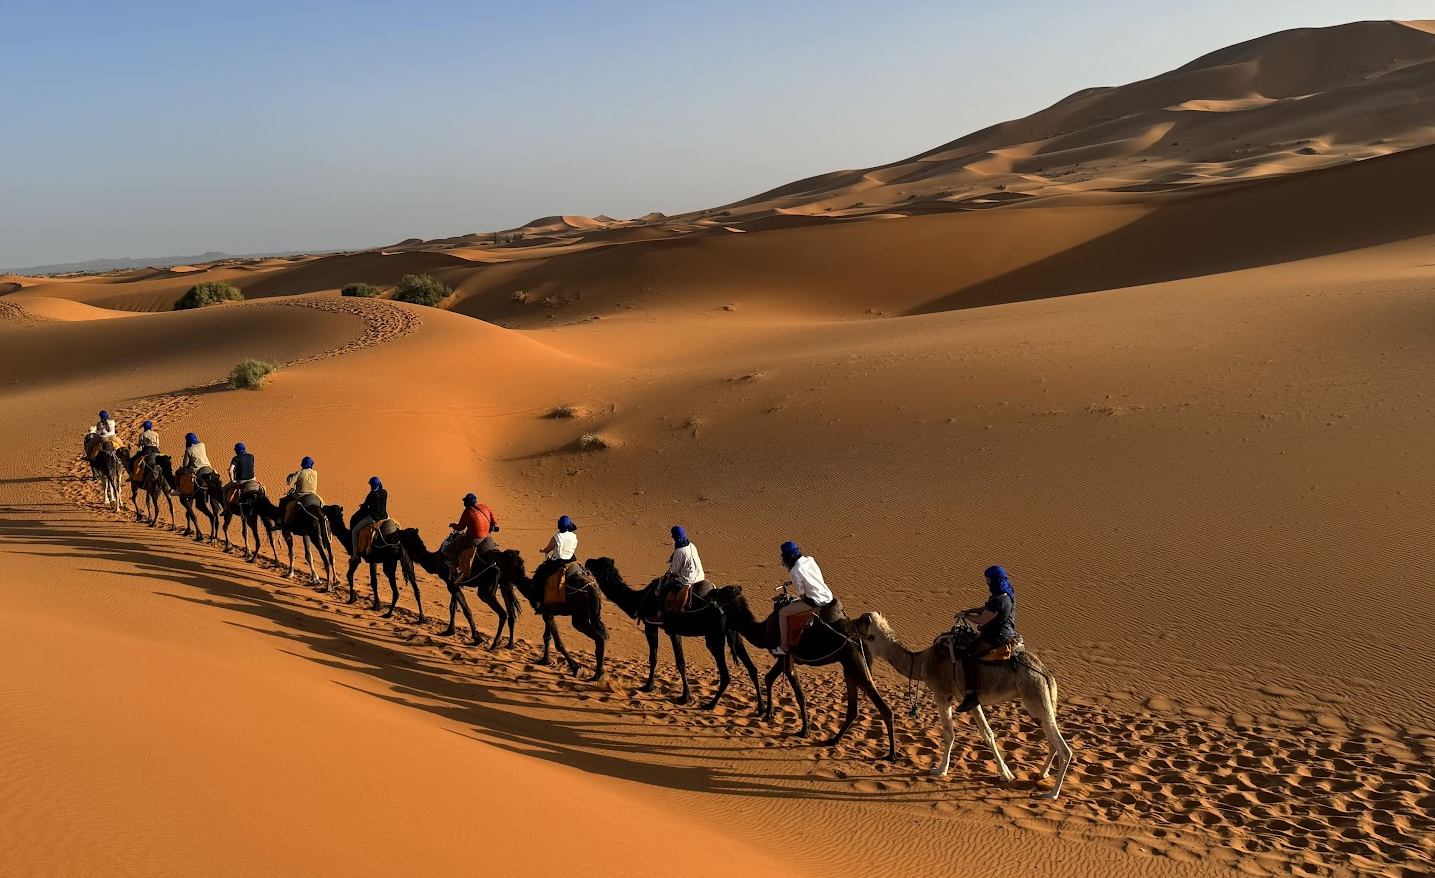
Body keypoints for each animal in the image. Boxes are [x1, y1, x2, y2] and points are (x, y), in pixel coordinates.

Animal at [585, 557, 761, 711]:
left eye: (599, 563)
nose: (587, 561)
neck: (640, 598)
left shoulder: (654, 626)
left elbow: (660, 658)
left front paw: (654, 688)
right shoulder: (673, 631)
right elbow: (678, 661)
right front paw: (683, 695)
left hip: (714, 637)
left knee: (726, 675)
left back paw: (710, 705)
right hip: (735, 634)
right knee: (752, 668)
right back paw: (761, 710)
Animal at [712, 586, 894, 759]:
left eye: (724, 591)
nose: (711, 592)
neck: (764, 630)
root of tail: (859, 638)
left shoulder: (786, 658)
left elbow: (799, 695)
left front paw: (804, 731)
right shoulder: (782, 659)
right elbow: (769, 679)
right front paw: (768, 713)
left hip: (854, 663)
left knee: (883, 707)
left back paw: (891, 755)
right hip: (849, 667)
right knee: (853, 709)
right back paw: (834, 740)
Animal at [851, 613, 1073, 799]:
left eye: (861, 621)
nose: (850, 623)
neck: (921, 662)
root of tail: (1046, 674)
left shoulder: (942, 693)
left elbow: (949, 733)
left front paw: (940, 770)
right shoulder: (969, 699)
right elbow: (987, 733)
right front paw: (1006, 773)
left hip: (1034, 695)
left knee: (1064, 749)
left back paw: (1052, 793)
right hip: (1043, 701)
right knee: (1051, 738)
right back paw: (1042, 774)